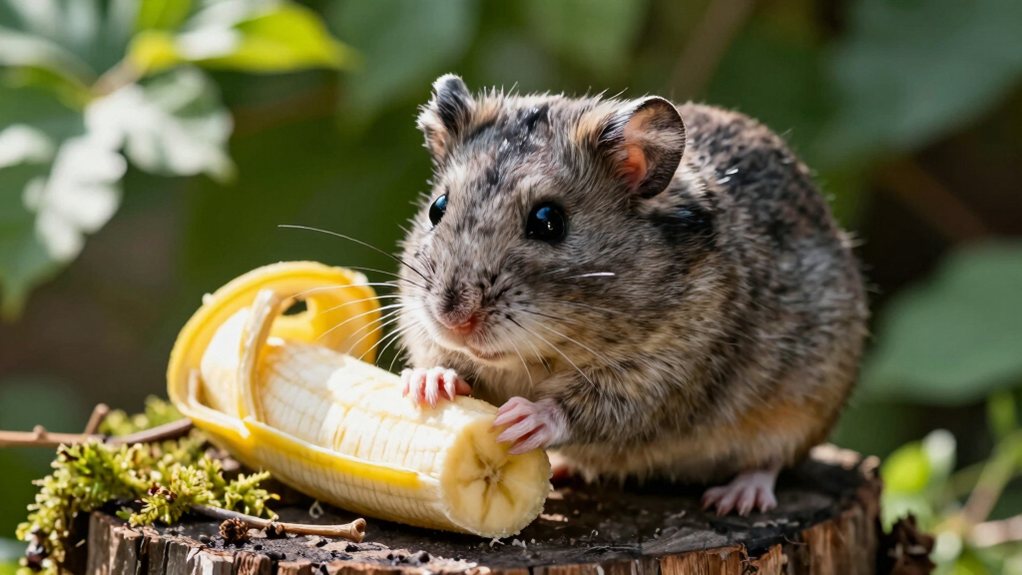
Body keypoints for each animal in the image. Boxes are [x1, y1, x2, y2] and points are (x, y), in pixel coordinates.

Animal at [394, 74, 868, 516]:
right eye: (437, 207)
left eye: (548, 221)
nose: (454, 320)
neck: (537, 357)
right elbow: (438, 358)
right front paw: (429, 383)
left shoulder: (664, 376)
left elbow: (591, 409)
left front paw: (525, 419)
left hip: (803, 409)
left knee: (772, 460)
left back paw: (738, 497)